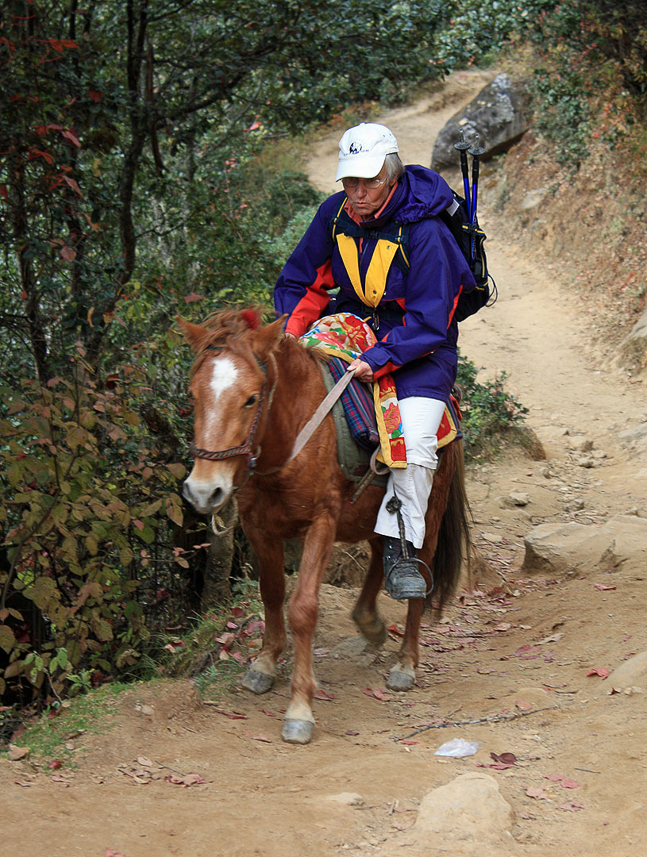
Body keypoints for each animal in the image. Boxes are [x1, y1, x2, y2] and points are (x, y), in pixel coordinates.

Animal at [180, 310, 468, 744]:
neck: (290, 437)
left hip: (430, 513)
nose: (203, 490)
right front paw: (264, 664)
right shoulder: (257, 525)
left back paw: (406, 662)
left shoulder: (322, 521)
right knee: (381, 551)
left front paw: (300, 707)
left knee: (419, 570)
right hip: (368, 512)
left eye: (251, 398)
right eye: (194, 396)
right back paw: (369, 623)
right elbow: (271, 593)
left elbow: (302, 608)